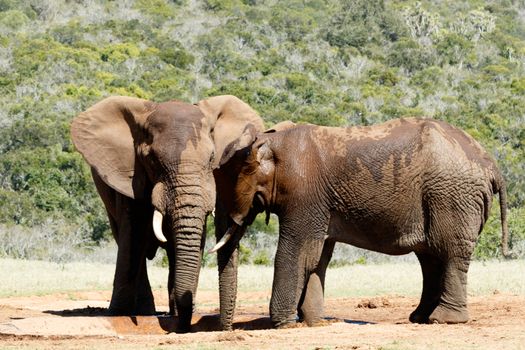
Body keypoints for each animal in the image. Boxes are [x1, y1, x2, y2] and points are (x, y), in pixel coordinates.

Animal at [70, 94, 262, 332]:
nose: (182, 326)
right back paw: (144, 311)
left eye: (211, 158)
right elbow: (133, 234)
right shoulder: (132, 176)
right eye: (151, 159)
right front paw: (119, 313)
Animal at [211, 117, 510, 328]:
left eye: (229, 185)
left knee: (449, 252)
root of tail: (491, 164)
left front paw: (283, 325)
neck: (269, 141)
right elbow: (318, 256)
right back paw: (420, 318)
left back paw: (444, 320)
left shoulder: (303, 193)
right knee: (430, 257)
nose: (227, 329)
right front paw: (314, 323)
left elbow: (299, 252)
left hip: (452, 195)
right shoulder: (318, 202)